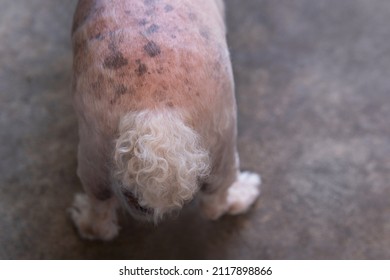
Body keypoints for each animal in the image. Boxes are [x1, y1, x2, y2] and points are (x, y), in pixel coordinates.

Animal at [69, 0, 260, 241]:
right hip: (224, 139)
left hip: (94, 156)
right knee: (216, 204)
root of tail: (155, 113)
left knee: (100, 215)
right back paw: (243, 193)